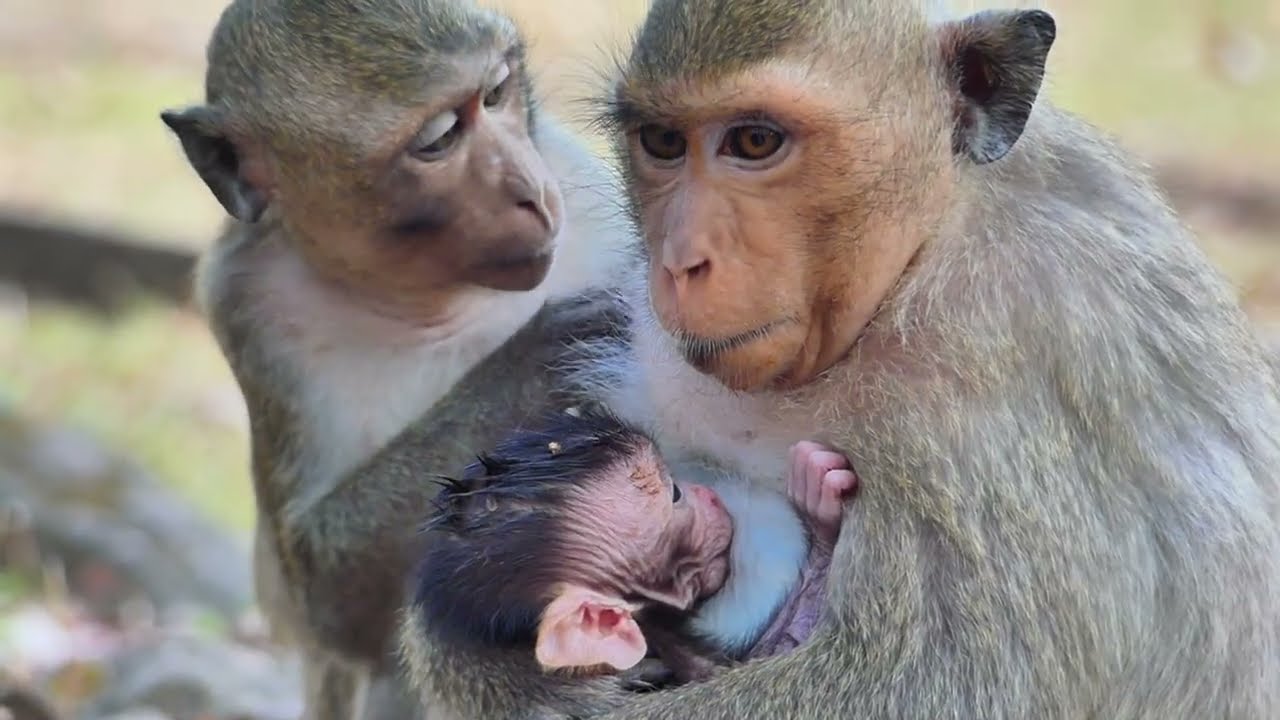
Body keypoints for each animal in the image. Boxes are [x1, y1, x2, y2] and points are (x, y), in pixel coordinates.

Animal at [159, 1, 634, 718]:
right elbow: (324, 602)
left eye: (497, 93)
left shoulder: (578, 183)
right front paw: (533, 367)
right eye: (439, 138)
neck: (434, 297)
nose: (529, 189)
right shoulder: (250, 309)